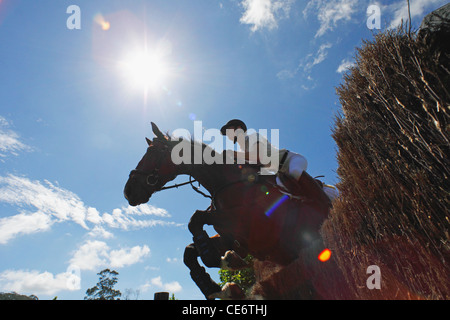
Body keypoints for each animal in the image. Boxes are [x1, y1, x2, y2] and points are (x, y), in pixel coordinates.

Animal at [123, 123, 330, 300]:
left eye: (153, 153)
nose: (128, 191)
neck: (226, 184)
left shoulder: (257, 228)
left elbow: (196, 219)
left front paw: (219, 259)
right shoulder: (231, 236)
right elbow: (189, 251)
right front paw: (215, 285)